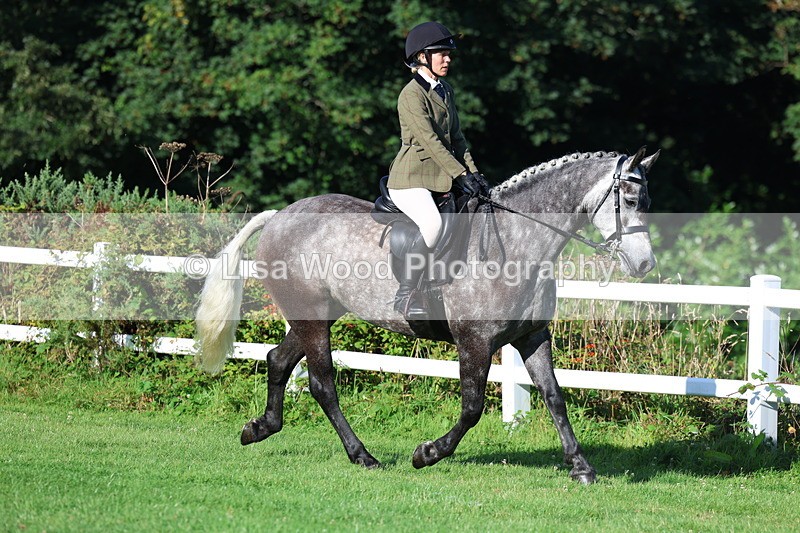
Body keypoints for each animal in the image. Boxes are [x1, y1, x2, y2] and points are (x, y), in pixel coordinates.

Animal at [195, 147, 659, 484]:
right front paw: (427, 453)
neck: (515, 243)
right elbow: (472, 408)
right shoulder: (475, 342)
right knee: (322, 383)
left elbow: (554, 398)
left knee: (278, 359)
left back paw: (259, 428)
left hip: (318, 315)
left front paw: (581, 467)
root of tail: (281, 216)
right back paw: (363, 456)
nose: (644, 265)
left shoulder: (531, 337)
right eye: (630, 199)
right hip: (311, 316)